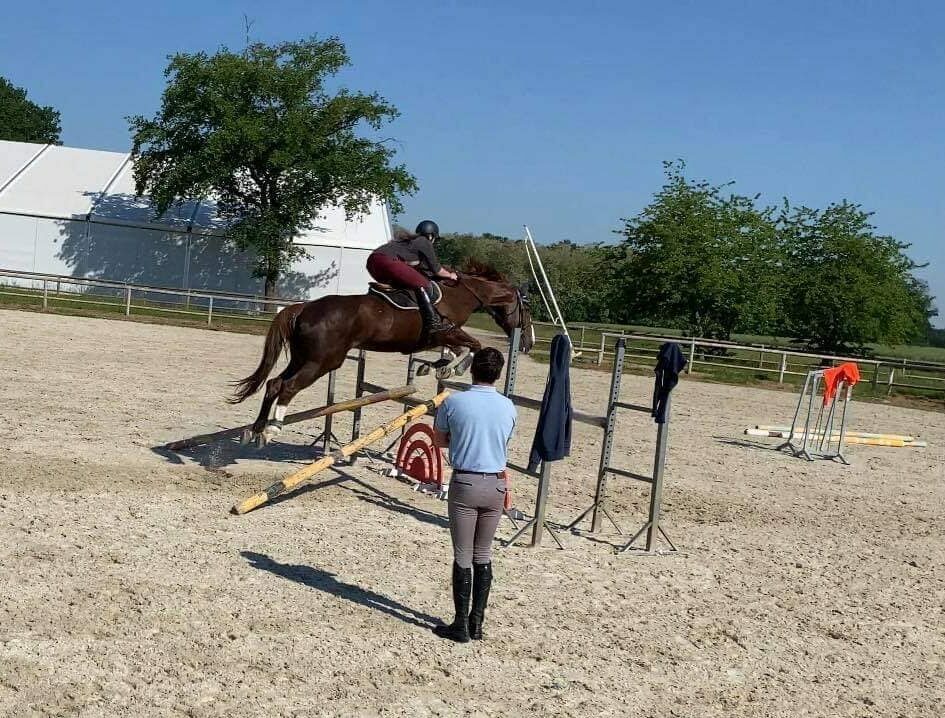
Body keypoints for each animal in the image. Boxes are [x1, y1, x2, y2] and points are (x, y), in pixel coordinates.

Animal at [229, 264, 532, 444]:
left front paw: (436, 366)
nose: (527, 343)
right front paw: (450, 367)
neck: (461, 294)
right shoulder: (444, 332)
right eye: (526, 309)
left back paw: (256, 428)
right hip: (322, 361)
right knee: (288, 387)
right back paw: (272, 428)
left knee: (273, 383)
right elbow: (474, 345)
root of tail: (304, 307)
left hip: (302, 358)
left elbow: (462, 348)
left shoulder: (444, 336)